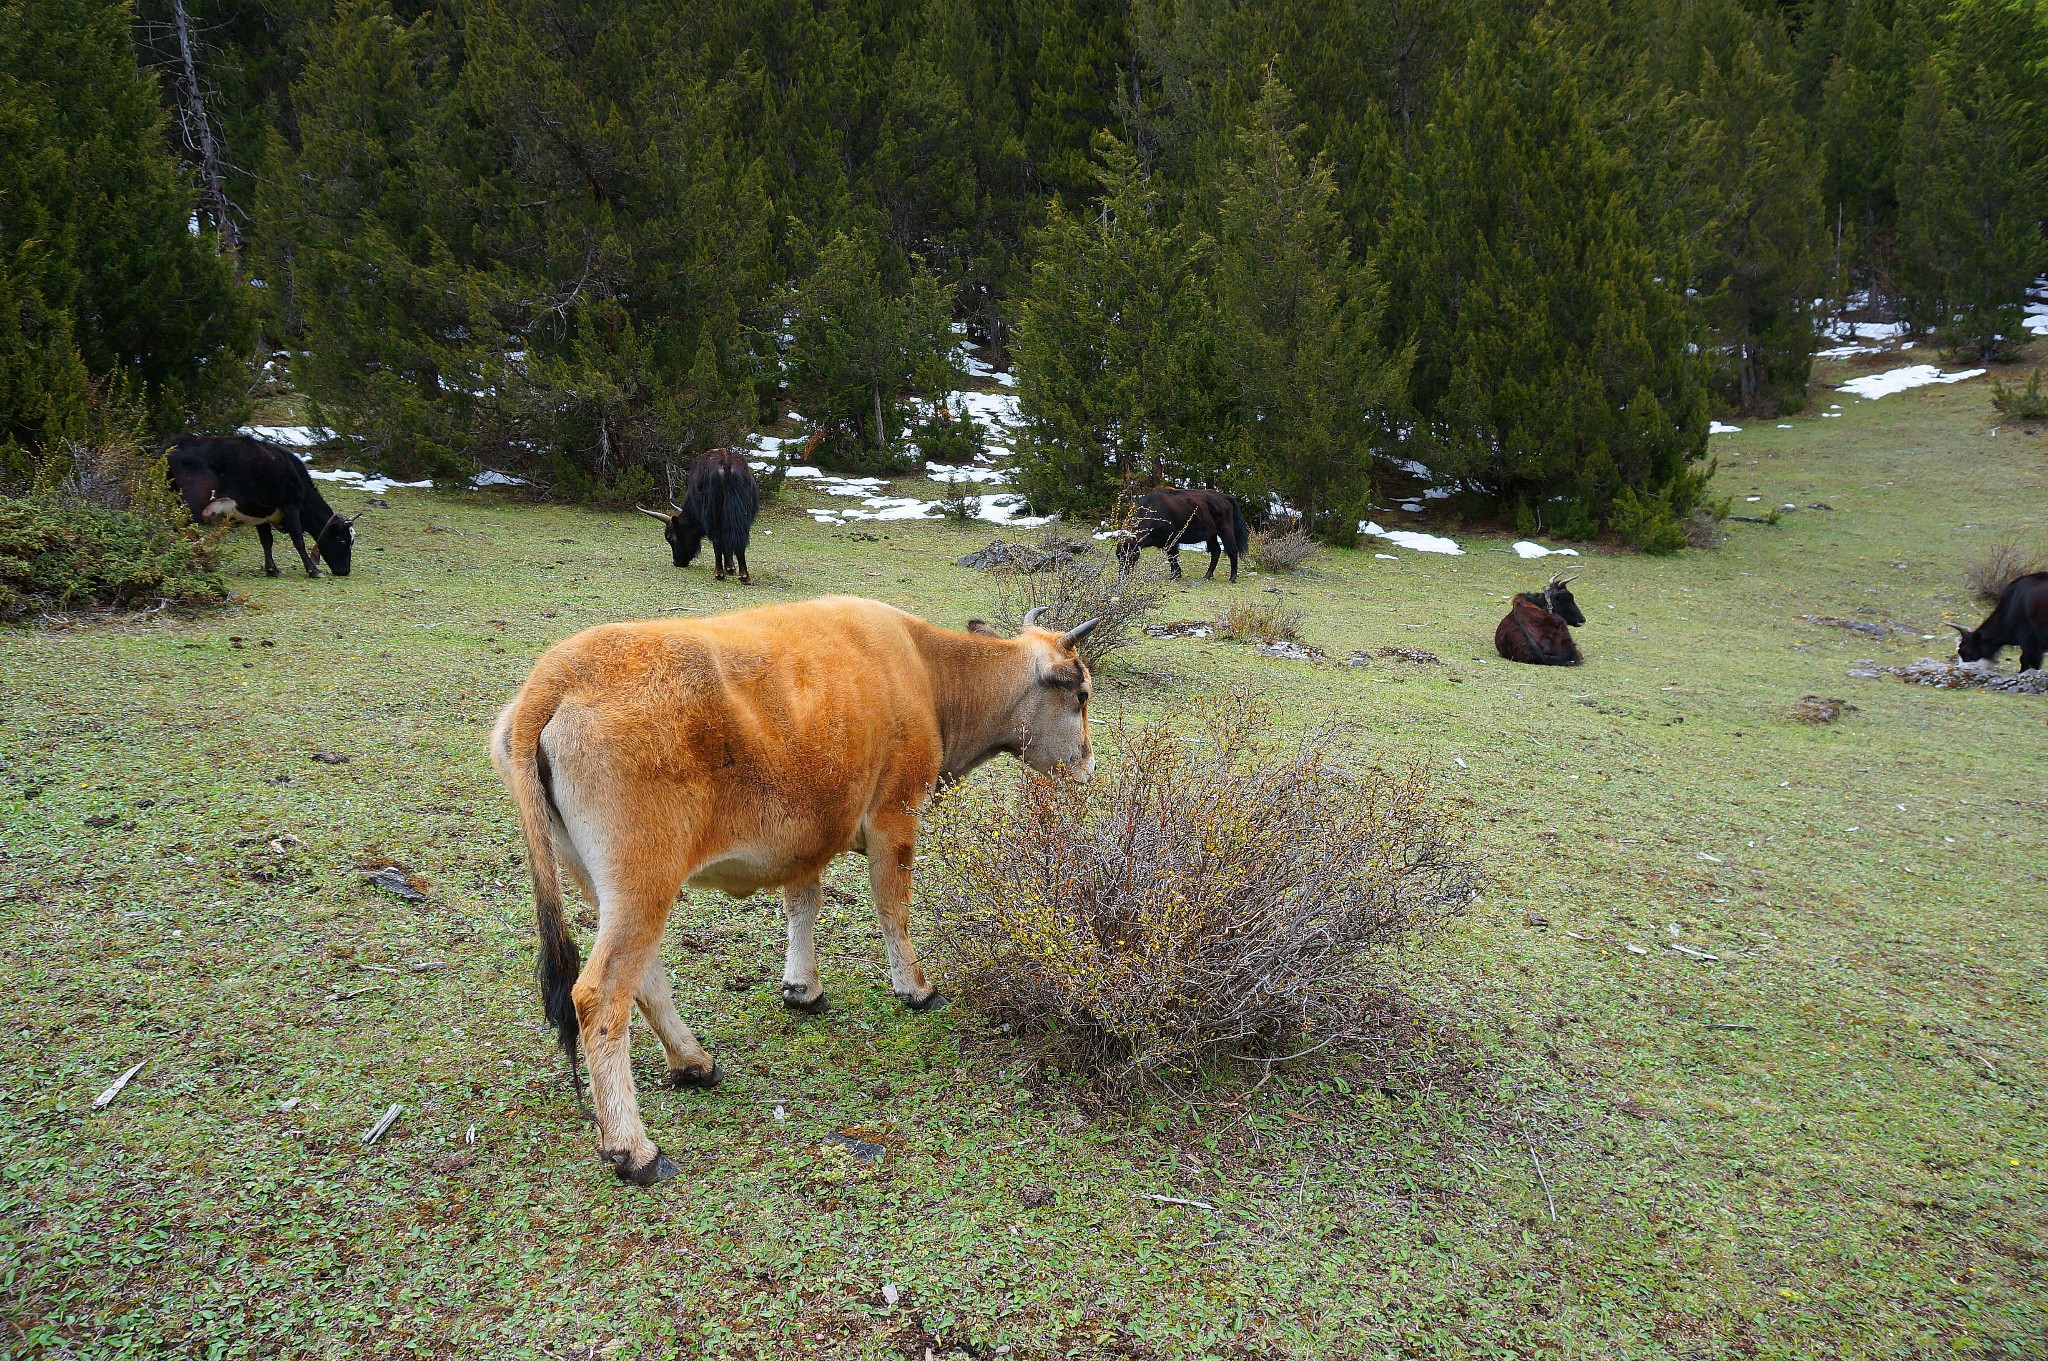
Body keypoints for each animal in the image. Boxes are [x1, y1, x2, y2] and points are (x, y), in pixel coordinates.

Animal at [487, 593, 1097, 1178]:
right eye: (1083, 694)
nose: (1088, 767)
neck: (926, 669)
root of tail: (556, 675)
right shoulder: (895, 816)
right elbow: (893, 908)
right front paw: (915, 988)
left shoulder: (809, 835)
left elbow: (803, 905)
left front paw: (803, 988)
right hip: (642, 879)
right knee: (600, 995)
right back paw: (634, 1149)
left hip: (601, 883)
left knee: (645, 978)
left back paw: (693, 1063)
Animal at [634, 440, 757, 577]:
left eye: (669, 537)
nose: (676, 562)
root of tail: (725, 465)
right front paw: (730, 568)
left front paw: (728, 568)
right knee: (739, 539)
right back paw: (744, 575)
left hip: (713, 515)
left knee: (718, 540)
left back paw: (719, 573)